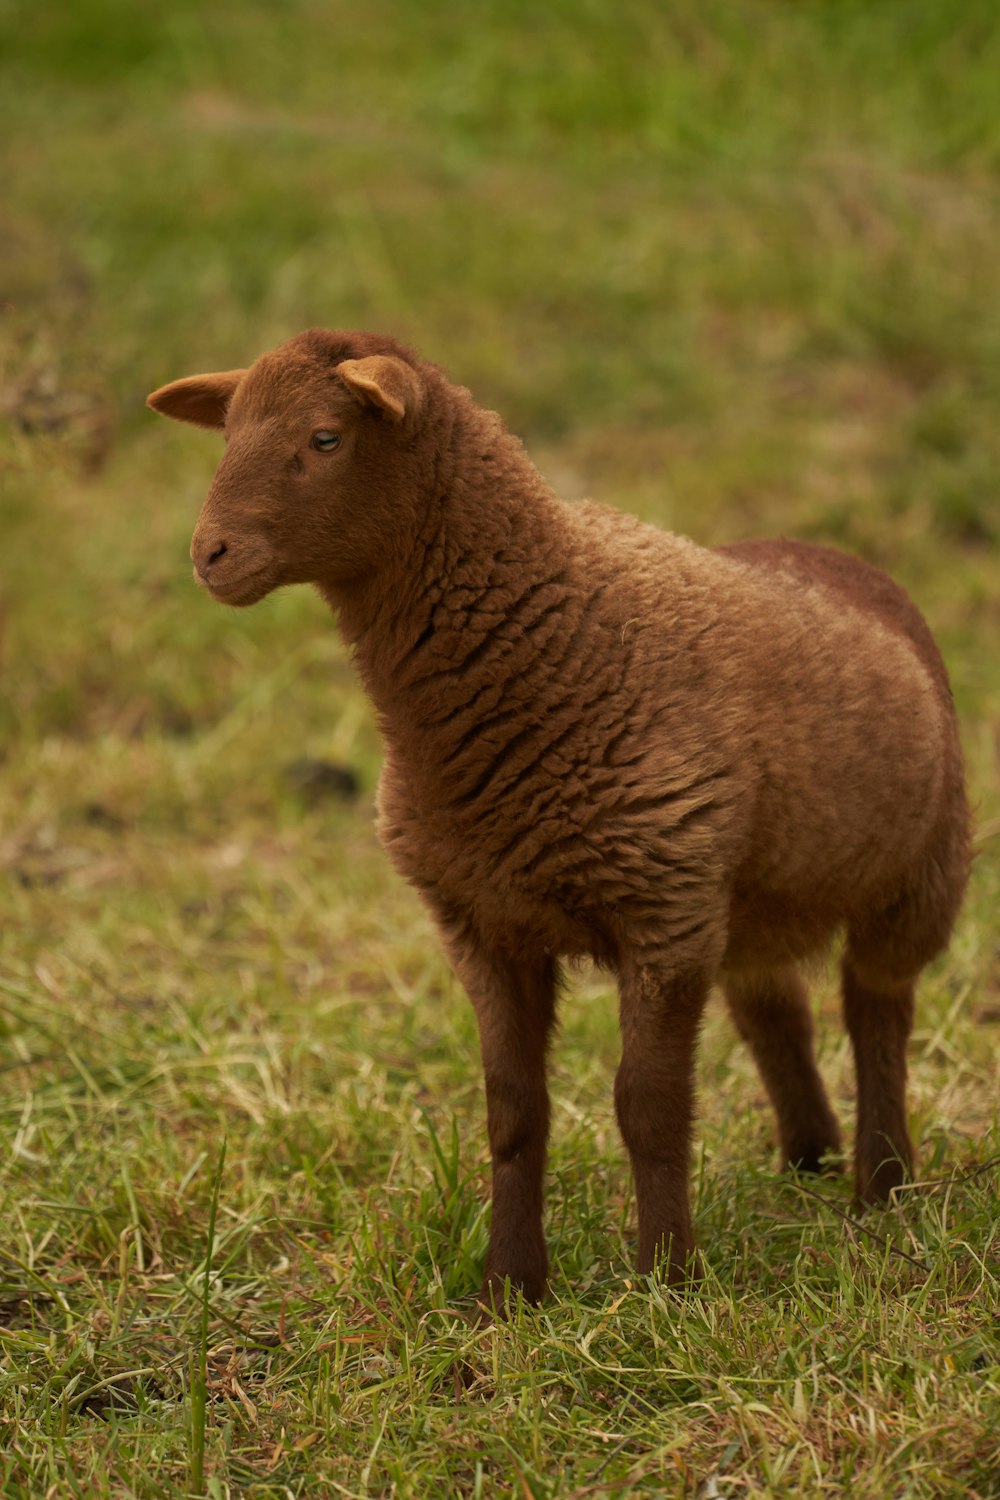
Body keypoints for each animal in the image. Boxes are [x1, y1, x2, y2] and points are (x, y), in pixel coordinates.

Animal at [146, 325, 971, 1302]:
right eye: (229, 431)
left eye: (324, 438)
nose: (210, 554)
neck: (563, 634)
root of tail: (837, 557)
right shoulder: (484, 924)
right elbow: (512, 1111)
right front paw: (508, 1290)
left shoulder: (663, 913)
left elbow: (648, 1108)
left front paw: (666, 1283)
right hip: (750, 900)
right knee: (777, 1008)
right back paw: (808, 1161)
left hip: (920, 874)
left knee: (876, 1010)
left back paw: (881, 1187)